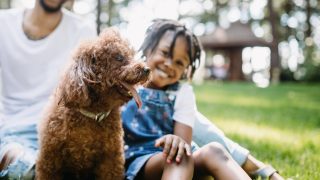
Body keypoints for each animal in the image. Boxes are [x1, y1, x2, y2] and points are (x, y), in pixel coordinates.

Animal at [35, 28, 151, 179]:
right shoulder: (51, 160)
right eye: (119, 57)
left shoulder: (110, 159)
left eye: (131, 55)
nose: (147, 69)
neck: (93, 114)